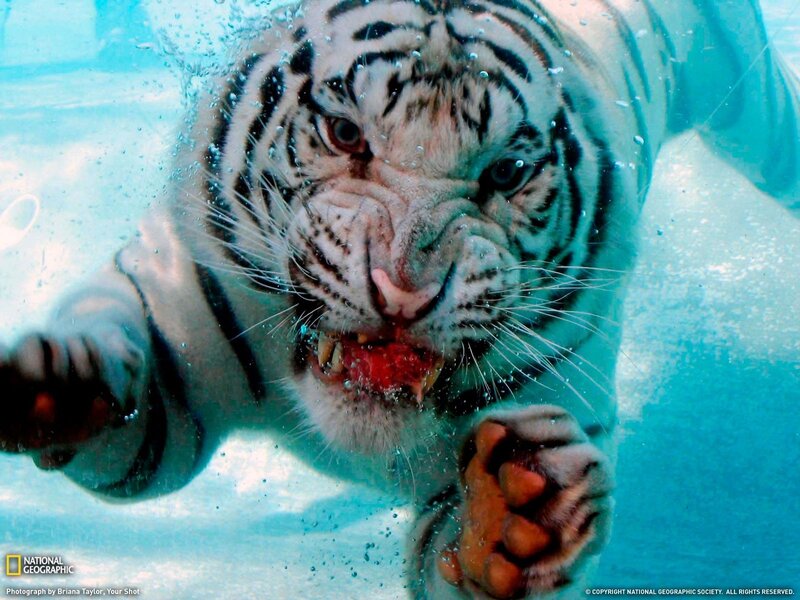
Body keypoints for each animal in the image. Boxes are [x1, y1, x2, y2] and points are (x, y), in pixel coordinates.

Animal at [1, 0, 798, 597]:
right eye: (344, 132)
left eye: (507, 173)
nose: (404, 289)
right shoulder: (177, 324)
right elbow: (126, 395)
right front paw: (59, 383)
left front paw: (518, 516)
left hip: (750, 101)